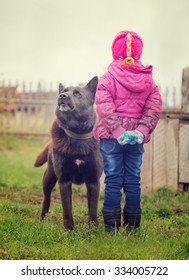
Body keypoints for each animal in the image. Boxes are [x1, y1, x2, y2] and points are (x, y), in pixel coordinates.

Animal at [34, 76, 102, 230]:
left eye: (77, 93)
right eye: (64, 91)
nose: (62, 96)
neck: (77, 134)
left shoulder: (93, 181)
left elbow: (93, 209)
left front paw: (93, 230)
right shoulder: (64, 181)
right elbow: (67, 210)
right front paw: (69, 230)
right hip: (48, 178)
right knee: (46, 199)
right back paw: (41, 220)